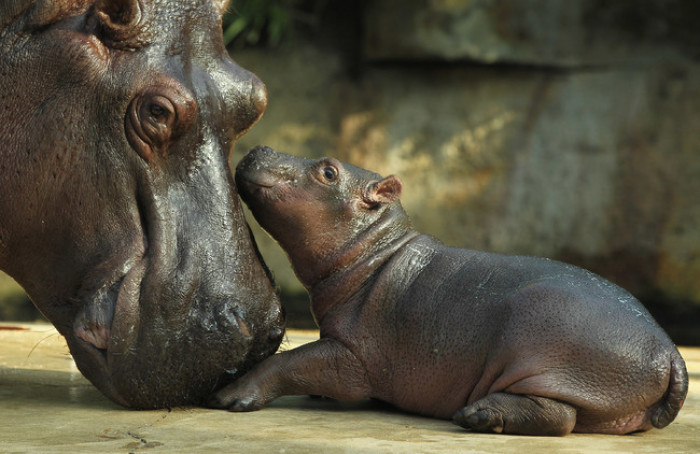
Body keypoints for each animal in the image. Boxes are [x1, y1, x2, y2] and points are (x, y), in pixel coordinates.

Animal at [209, 146, 688, 436]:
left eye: (329, 171)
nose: (260, 148)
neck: (375, 251)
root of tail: (669, 350)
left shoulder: (354, 357)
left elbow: (294, 360)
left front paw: (230, 396)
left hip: (544, 350)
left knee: (561, 416)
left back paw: (478, 414)